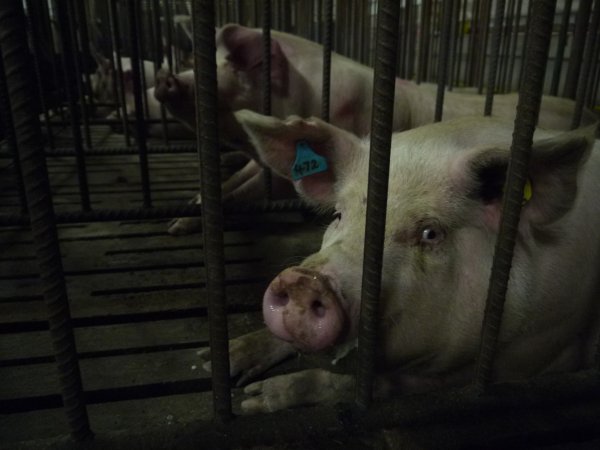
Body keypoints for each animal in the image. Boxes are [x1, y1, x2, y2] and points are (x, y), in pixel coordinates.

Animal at [155, 23, 596, 236]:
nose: (165, 79)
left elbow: (244, 194)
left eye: (231, 70)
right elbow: (231, 184)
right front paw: (186, 211)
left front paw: (178, 225)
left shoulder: (283, 178)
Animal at [197, 110, 600, 414]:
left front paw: (255, 401)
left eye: (430, 233)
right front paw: (213, 361)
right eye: (339, 214)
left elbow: (368, 386)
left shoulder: (530, 354)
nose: (304, 282)